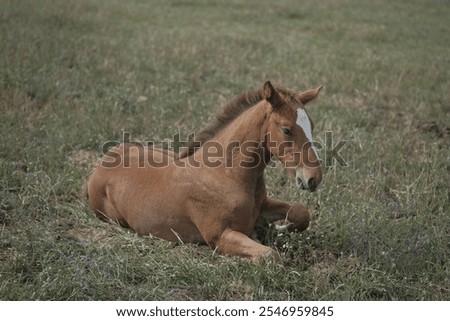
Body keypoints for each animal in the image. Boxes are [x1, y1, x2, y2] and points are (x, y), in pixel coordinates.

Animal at [86, 80, 322, 260]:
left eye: (311, 125)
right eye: (286, 130)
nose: (314, 178)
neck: (225, 174)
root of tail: (104, 160)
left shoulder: (262, 204)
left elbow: (301, 212)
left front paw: (276, 228)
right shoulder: (218, 236)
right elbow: (269, 255)